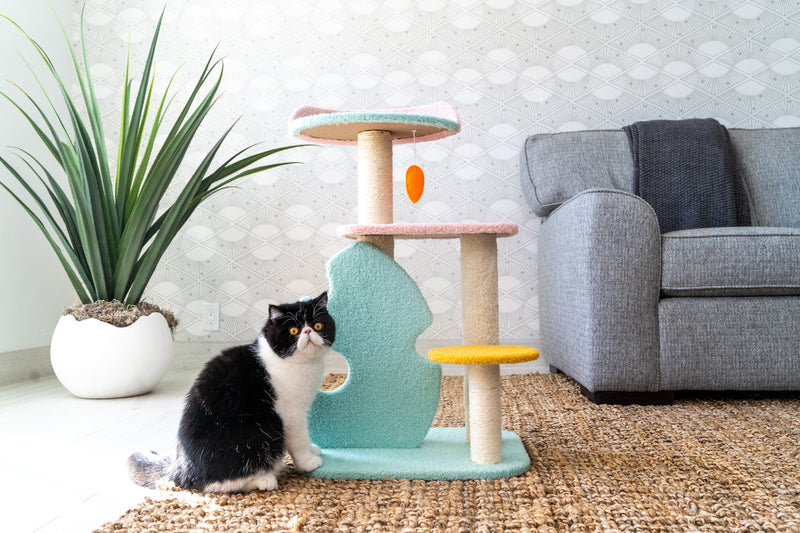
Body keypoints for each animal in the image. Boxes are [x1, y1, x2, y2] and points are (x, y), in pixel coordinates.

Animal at [128, 294, 334, 492]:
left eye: (317, 325)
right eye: (293, 331)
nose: (308, 332)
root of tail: (180, 468)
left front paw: (313, 450)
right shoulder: (292, 414)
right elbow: (299, 439)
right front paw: (308, 462)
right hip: (257, 434)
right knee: (217, 485)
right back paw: (264, 480)